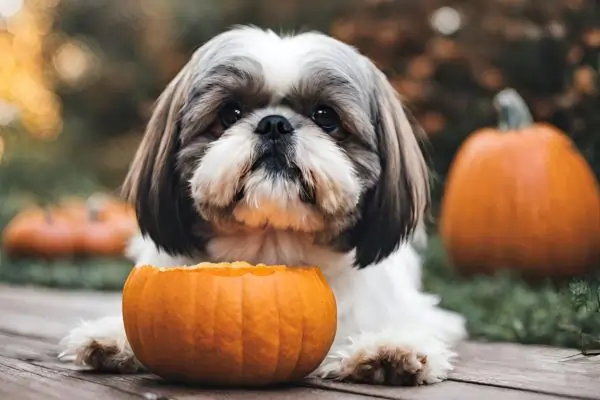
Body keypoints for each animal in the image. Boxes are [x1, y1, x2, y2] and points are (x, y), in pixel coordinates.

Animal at [58, 26, 466, 386]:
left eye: (325, 116)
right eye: (230, 113)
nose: (274, 123)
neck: (271, 244)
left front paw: (388, 349)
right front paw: (113, 339)